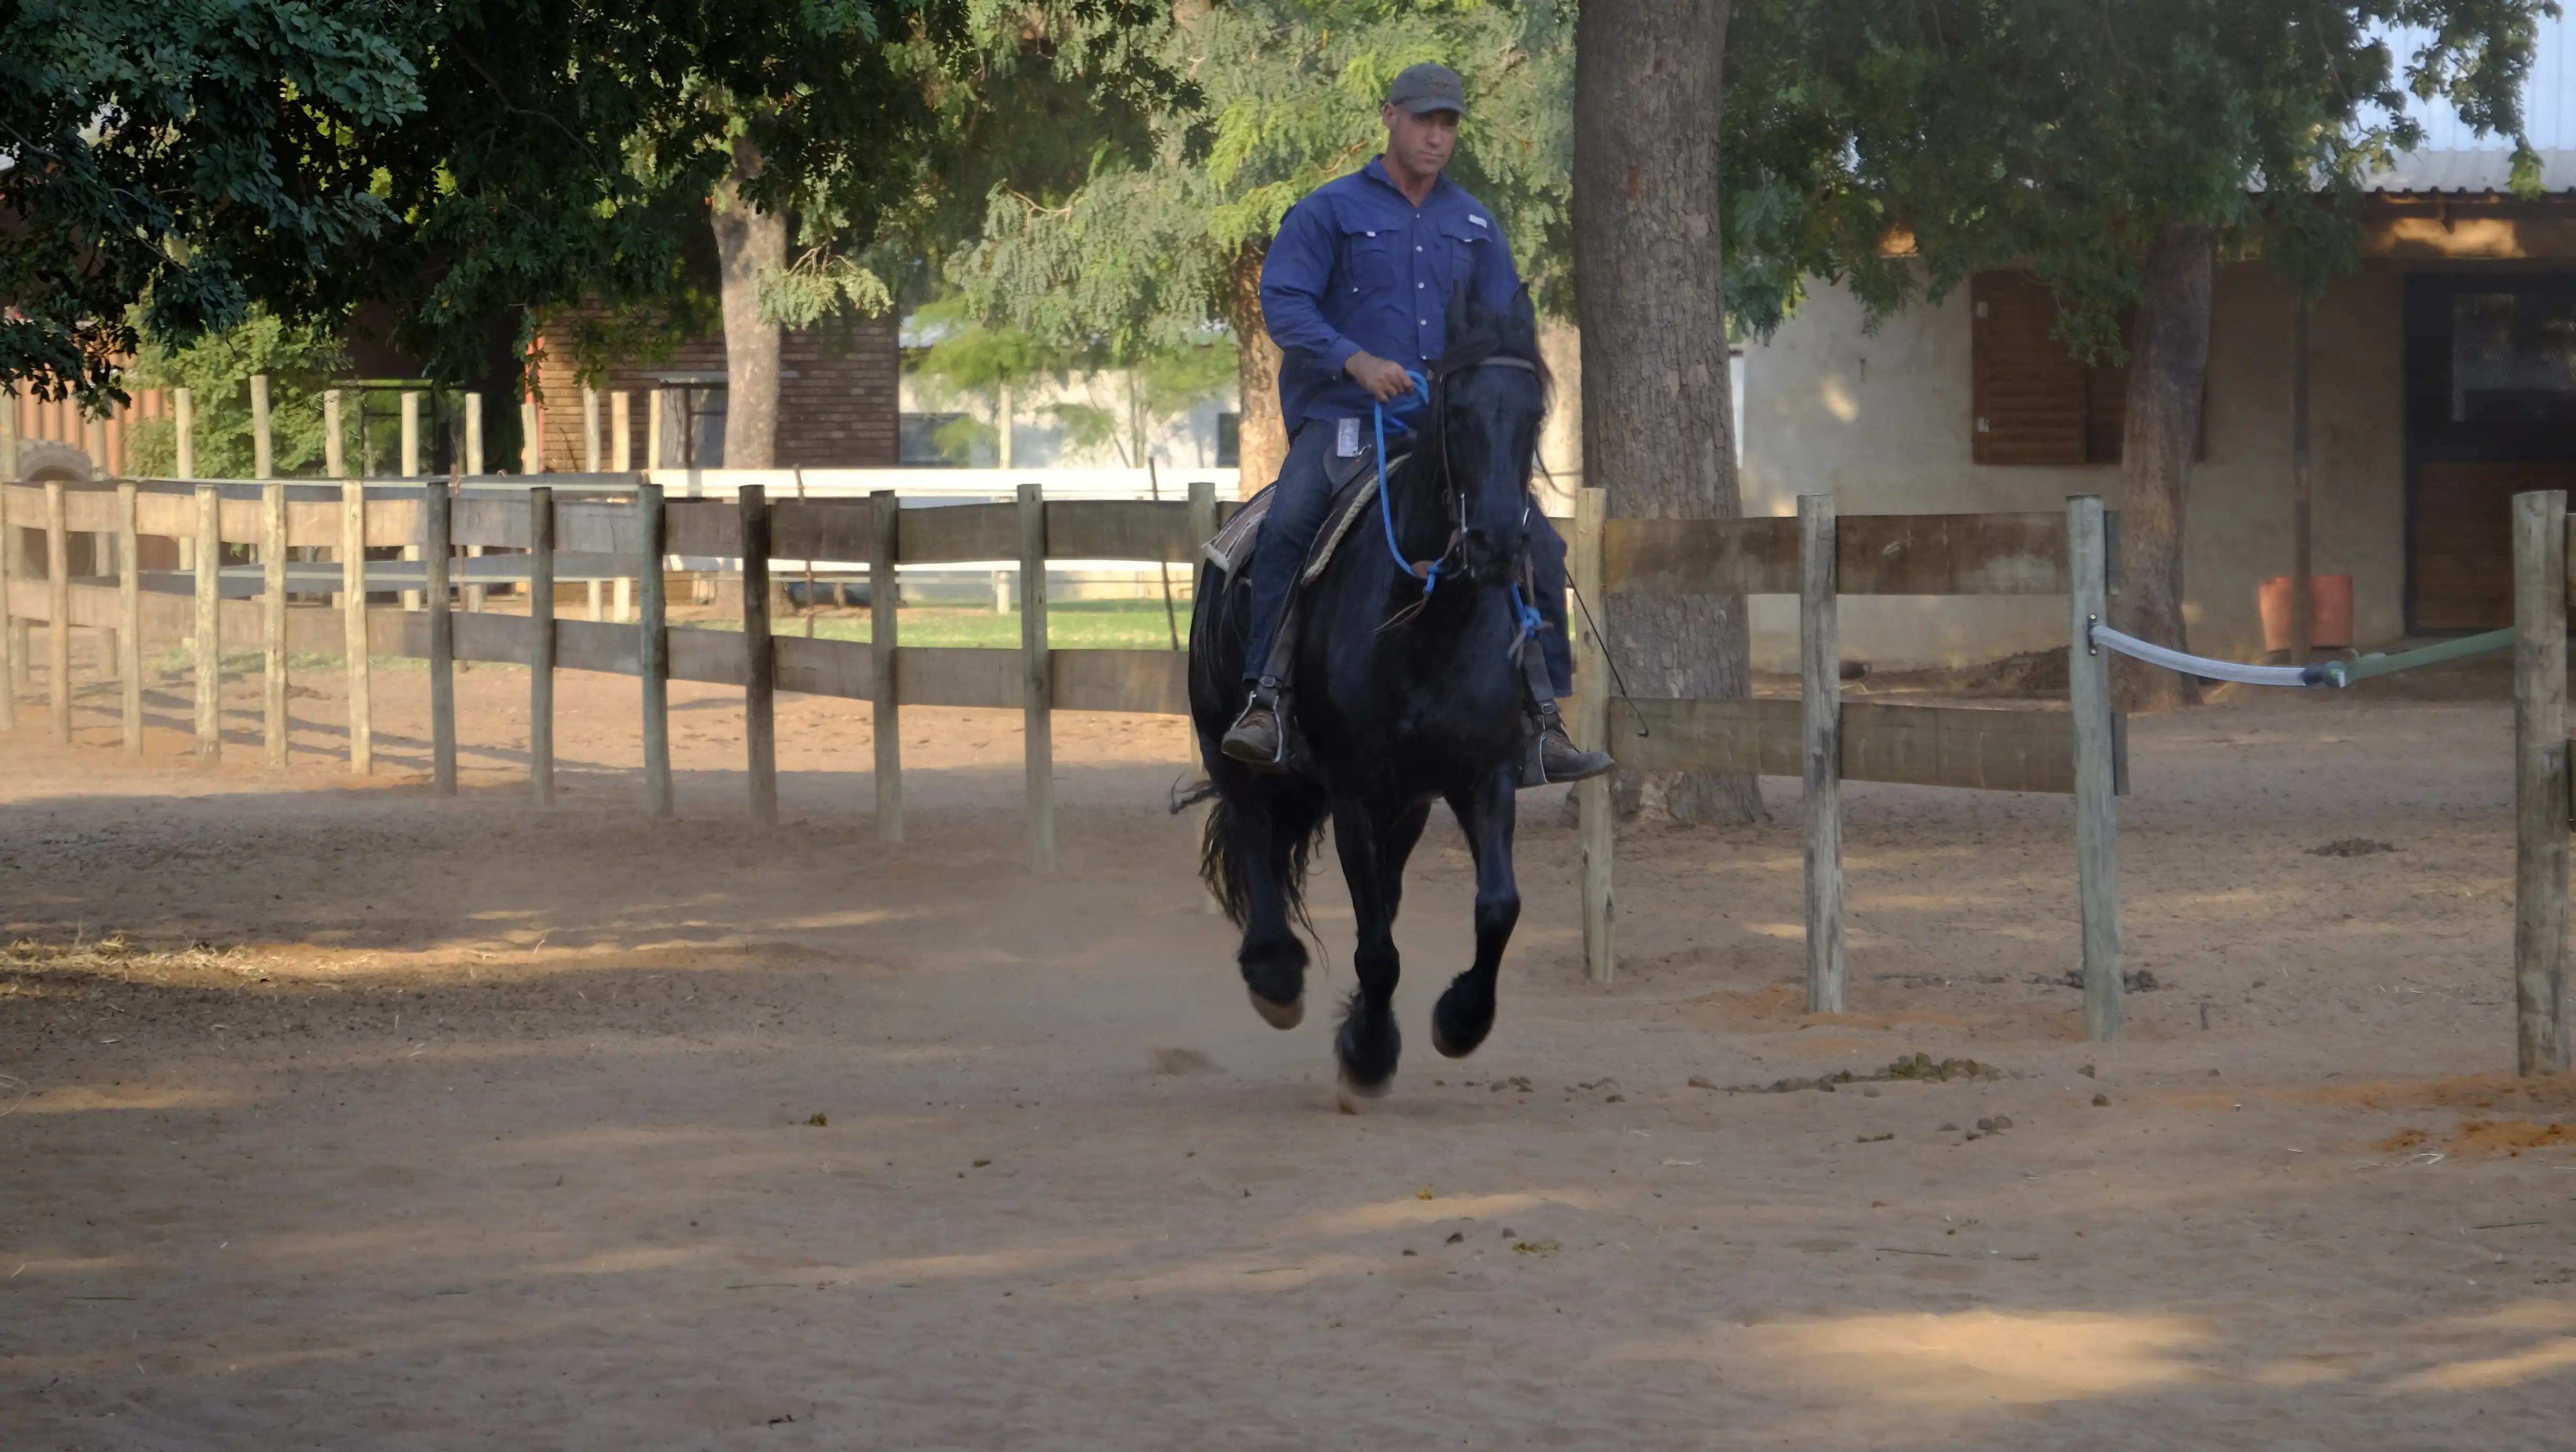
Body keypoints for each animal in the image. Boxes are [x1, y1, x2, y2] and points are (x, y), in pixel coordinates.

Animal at [1186, 290, 1551, 1102]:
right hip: (1226, 744)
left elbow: (1499, 908)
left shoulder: (1484, 777)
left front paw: (1459, 1020)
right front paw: (1370, 1051)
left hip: (1409, 802)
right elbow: (1378, 946)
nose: (1497, 544)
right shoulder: (1354, 789)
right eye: (1457, 410)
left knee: (1382, 888)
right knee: (1254, 833)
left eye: (1536, 411)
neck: (1426, 622)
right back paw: (1274, 974)